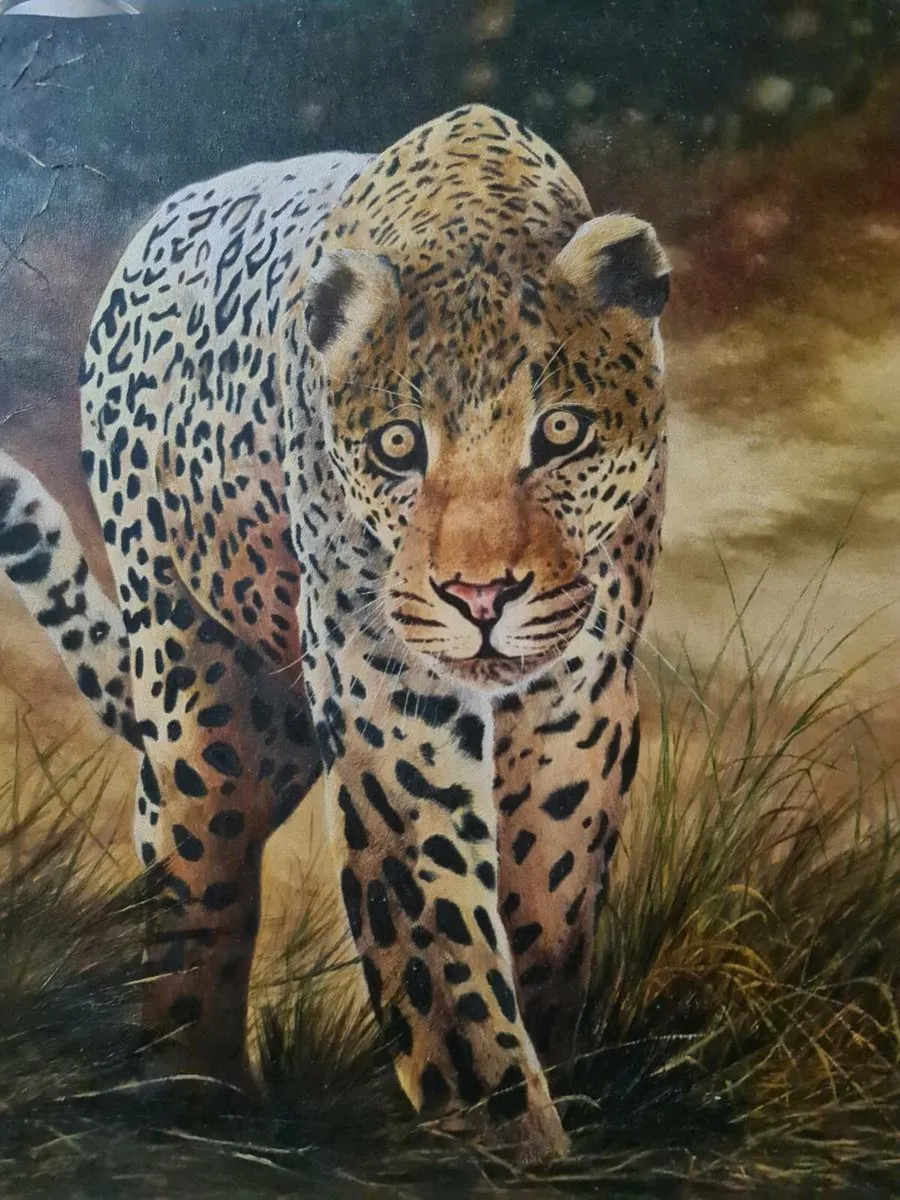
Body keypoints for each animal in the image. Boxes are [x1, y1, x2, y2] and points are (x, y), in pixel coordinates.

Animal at [0, 104, 670, 1163]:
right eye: (399, 446)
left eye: (561, 432)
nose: (481, 596)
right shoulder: (387, 702)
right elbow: (441, 948)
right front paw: (503, 1137)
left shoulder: (580, 700)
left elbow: (551, 894)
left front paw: (550, 1074)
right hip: (204, 696)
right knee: (192, 864)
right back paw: (190, 1091)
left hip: (277, 727)